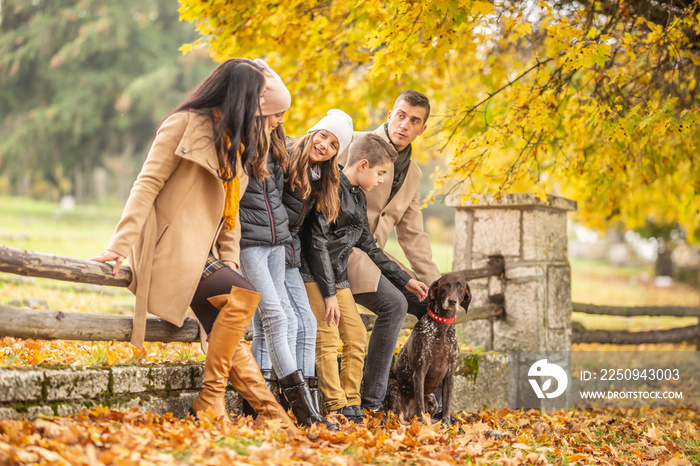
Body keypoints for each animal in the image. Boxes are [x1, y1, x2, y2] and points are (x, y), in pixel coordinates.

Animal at [382, 274, 470, 426]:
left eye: (461, 287)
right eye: (445, 285)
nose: (452, 301)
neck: (442, 327)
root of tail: (408, 415)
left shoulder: (450, 375)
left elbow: (447, 405)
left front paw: (446, 425)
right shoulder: (420, 372)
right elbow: (420, 406)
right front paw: (422, 424)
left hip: (432, 398)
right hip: (393, 387)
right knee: (396, 413)